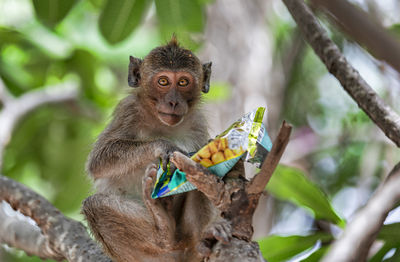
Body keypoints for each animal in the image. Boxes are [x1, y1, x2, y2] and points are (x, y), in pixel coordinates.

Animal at [81, 37, 231, 262]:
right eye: (163, 82)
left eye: (183, 82)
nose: (173, 101)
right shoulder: (129, 111)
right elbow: (99, 160)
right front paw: (164, 146)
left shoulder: (197, 124)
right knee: (94, 205)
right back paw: (163, 231)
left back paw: (202, 236)